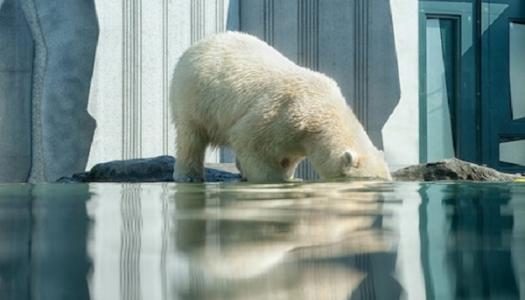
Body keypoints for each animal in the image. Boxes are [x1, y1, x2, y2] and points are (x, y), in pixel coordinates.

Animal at [170, 32, 390, 183]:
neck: (321, 110)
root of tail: (199, 43)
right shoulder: (281, 113)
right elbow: (249, 141)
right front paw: (274, 179)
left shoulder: (297, 136)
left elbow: (288, 156)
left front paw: (291, 177)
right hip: (195, 96)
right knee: (191, 136)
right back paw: (188, 176)